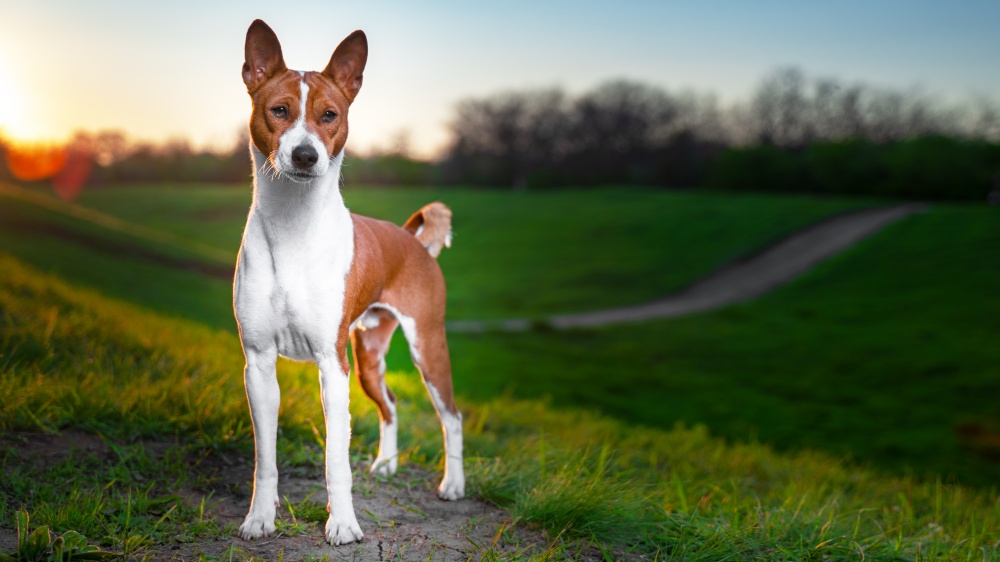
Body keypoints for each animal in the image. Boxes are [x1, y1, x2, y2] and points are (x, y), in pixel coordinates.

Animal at [232, 18, 462, 544]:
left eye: (329, 115)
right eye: (279, 110)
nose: (304, 154)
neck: (293, 228)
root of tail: (412, 240)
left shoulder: (331, 364)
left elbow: (336, 461)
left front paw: (342, 524)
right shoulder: (259, 363)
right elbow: (265, 458)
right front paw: (260, 518)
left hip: (427, 349)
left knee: (452, 416)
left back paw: (453, 485)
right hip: (369, 356)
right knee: (392, 404)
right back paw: (386, 464)